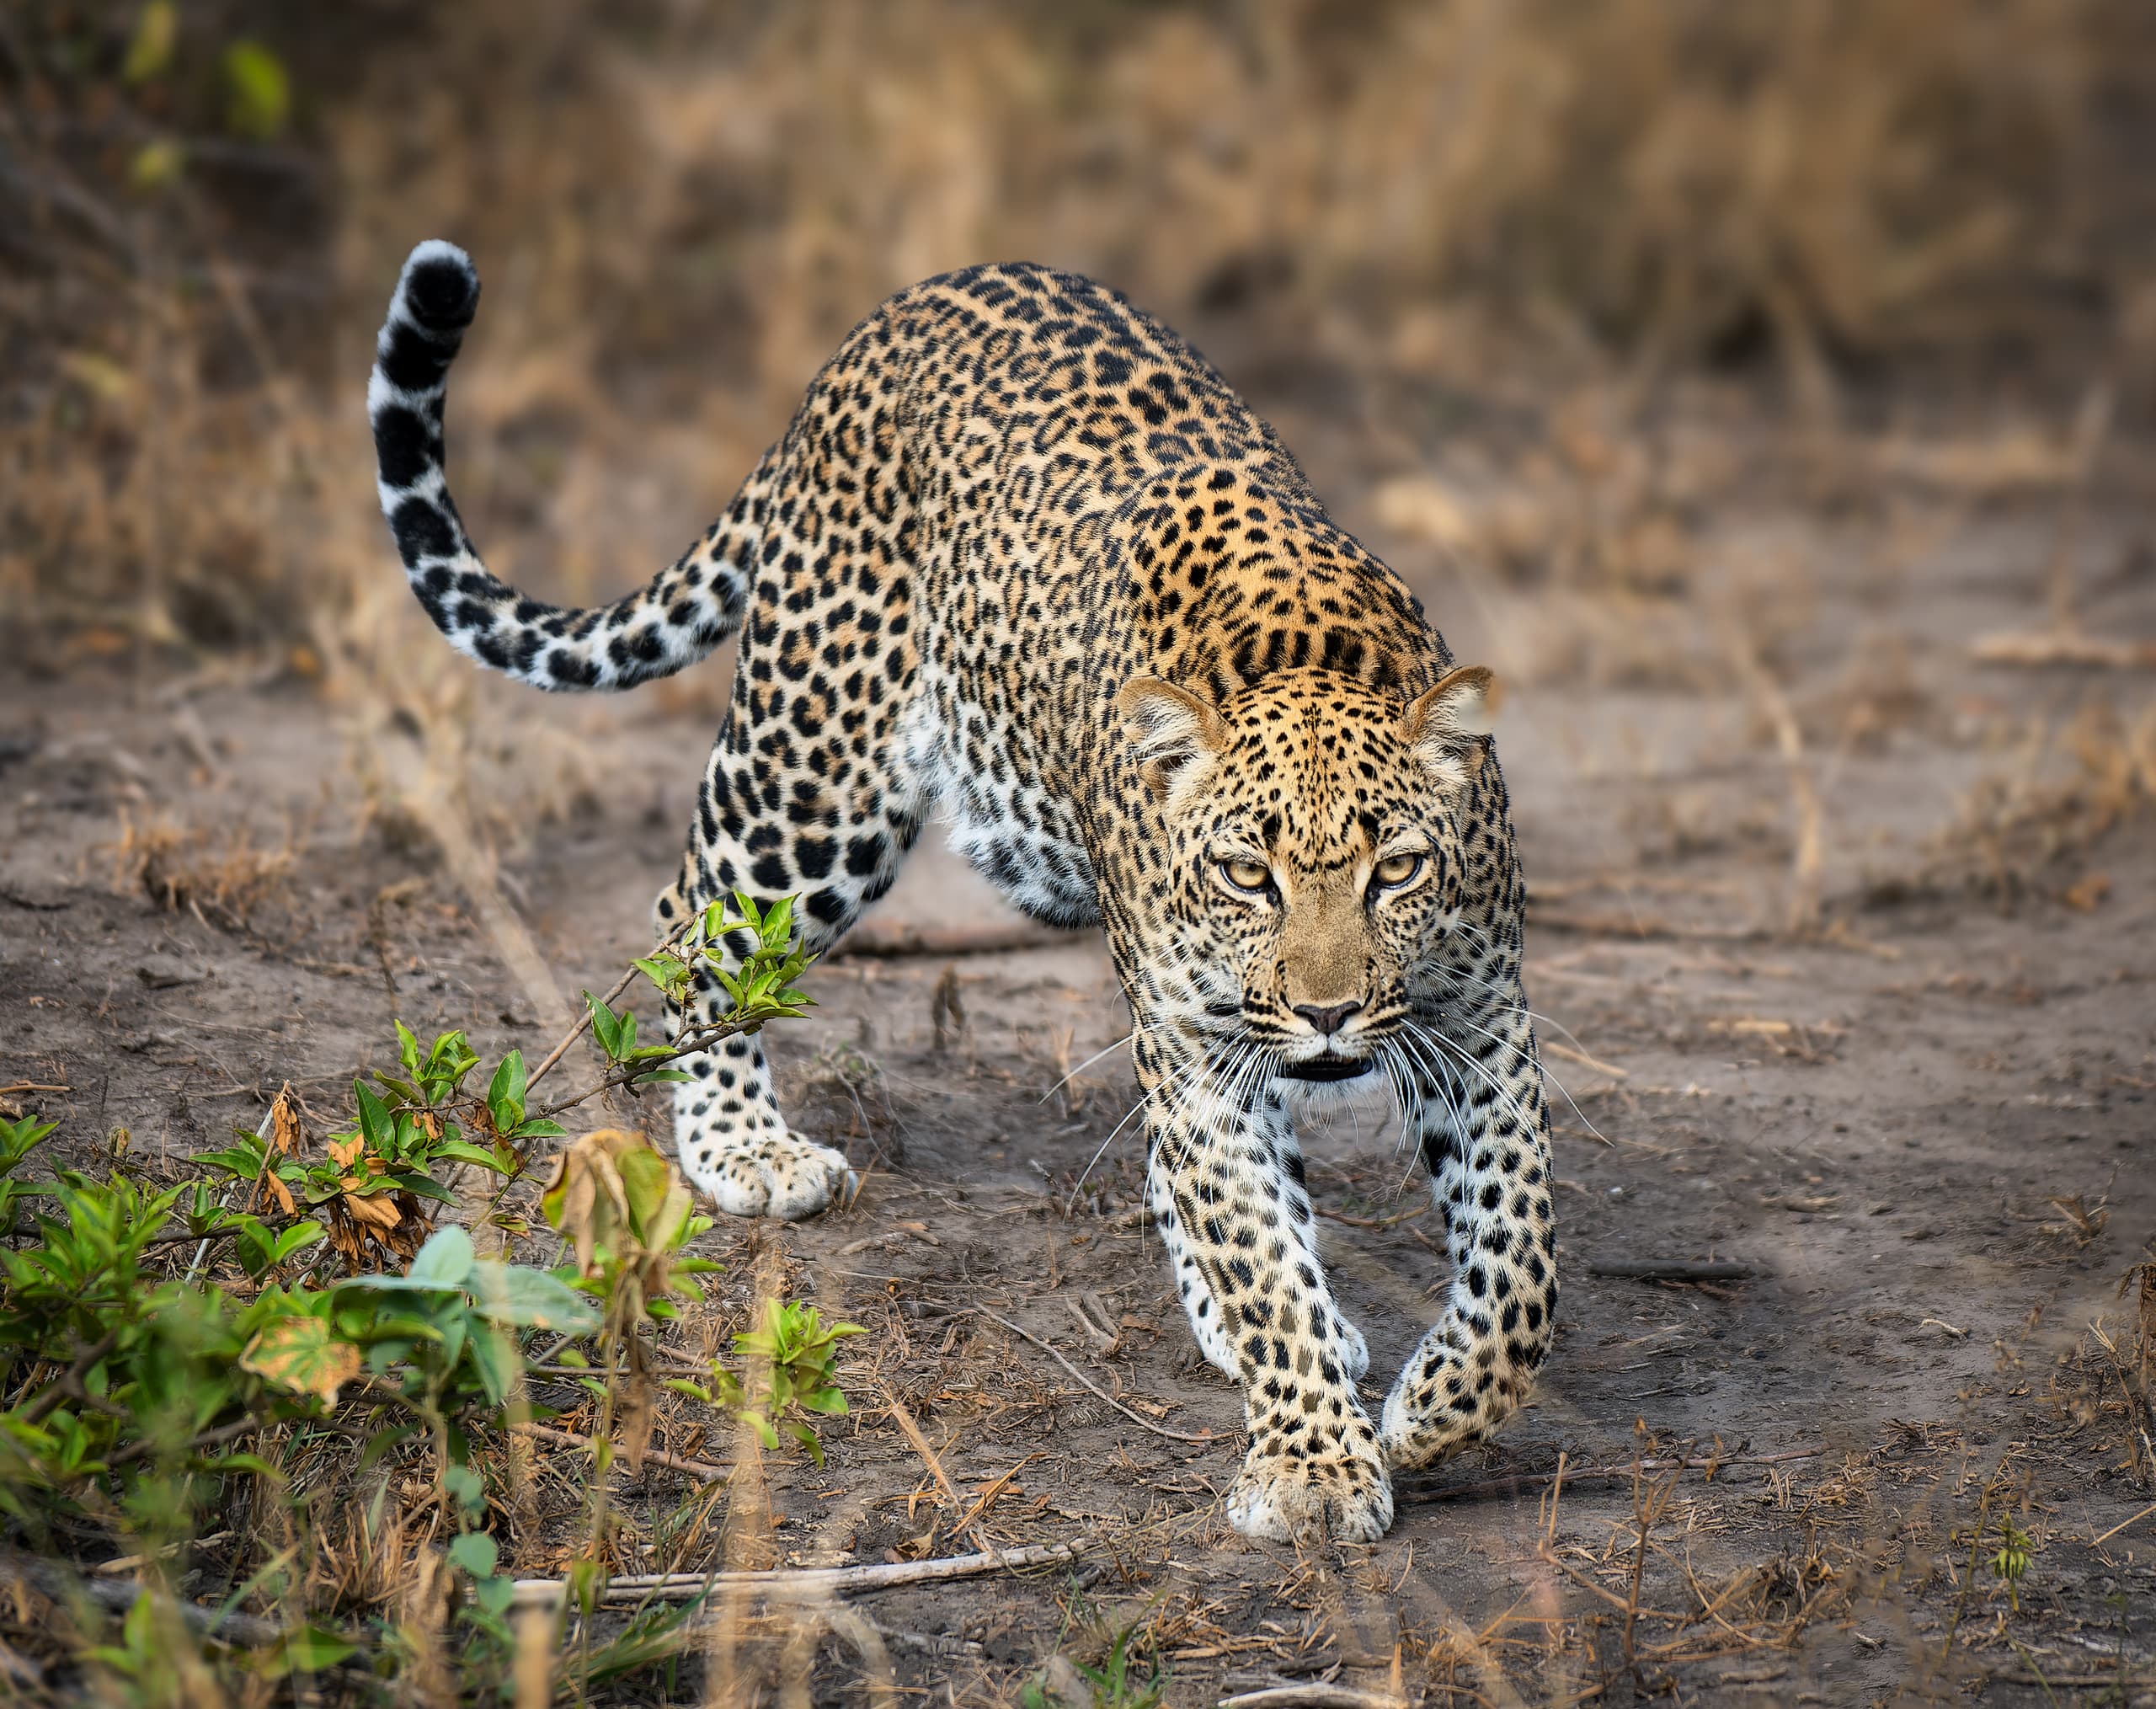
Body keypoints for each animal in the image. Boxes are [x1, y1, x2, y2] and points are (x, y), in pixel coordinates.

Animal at [369, 240, 1557, 1542]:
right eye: (1250, 874)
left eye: (1397, 869)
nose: (1331, 1014)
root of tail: (894, 316)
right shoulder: (1200, 1037)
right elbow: (1253, 1244)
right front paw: (1313, 1465)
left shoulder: (1480, 1014)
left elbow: (1520, 1259)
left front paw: (1435, 1404)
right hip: (814, 777)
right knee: (692, 918)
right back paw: (747, 1146)